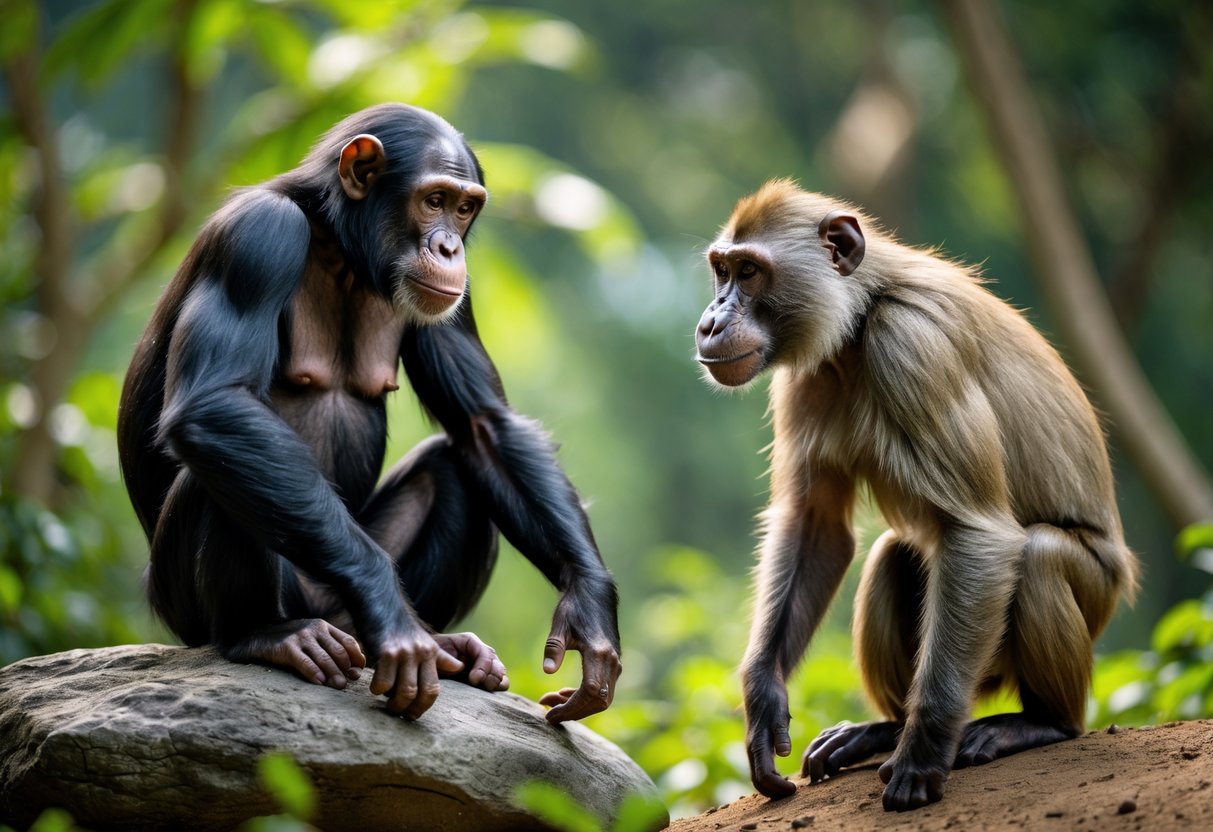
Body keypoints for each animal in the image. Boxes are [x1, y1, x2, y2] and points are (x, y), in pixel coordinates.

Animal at [117, 103, 621, 723]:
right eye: (433, 200)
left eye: (464, 208)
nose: (450, 248)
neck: (341, 250)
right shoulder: (256, 239)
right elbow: (215, 404)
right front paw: (392, 614)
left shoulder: (459, 299)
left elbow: (486, 425)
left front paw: (591, 611)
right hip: (198, 610)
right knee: (215, 462)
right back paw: (268, 635)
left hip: (341, 606)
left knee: (453, 465)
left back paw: (446, 646)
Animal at [694, 179, 1138, 810]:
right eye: (722, 271)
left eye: (750, 272)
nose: (711, 321)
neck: (859, 320)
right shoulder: (807, 373)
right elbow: (816, 523)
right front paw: (762, 697)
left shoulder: (913, 346)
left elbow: (980, 534)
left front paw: (924, 752)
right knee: (894, 555)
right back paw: (884, 727)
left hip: (1089, 597)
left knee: (1040, 554)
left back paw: (1041, 722)